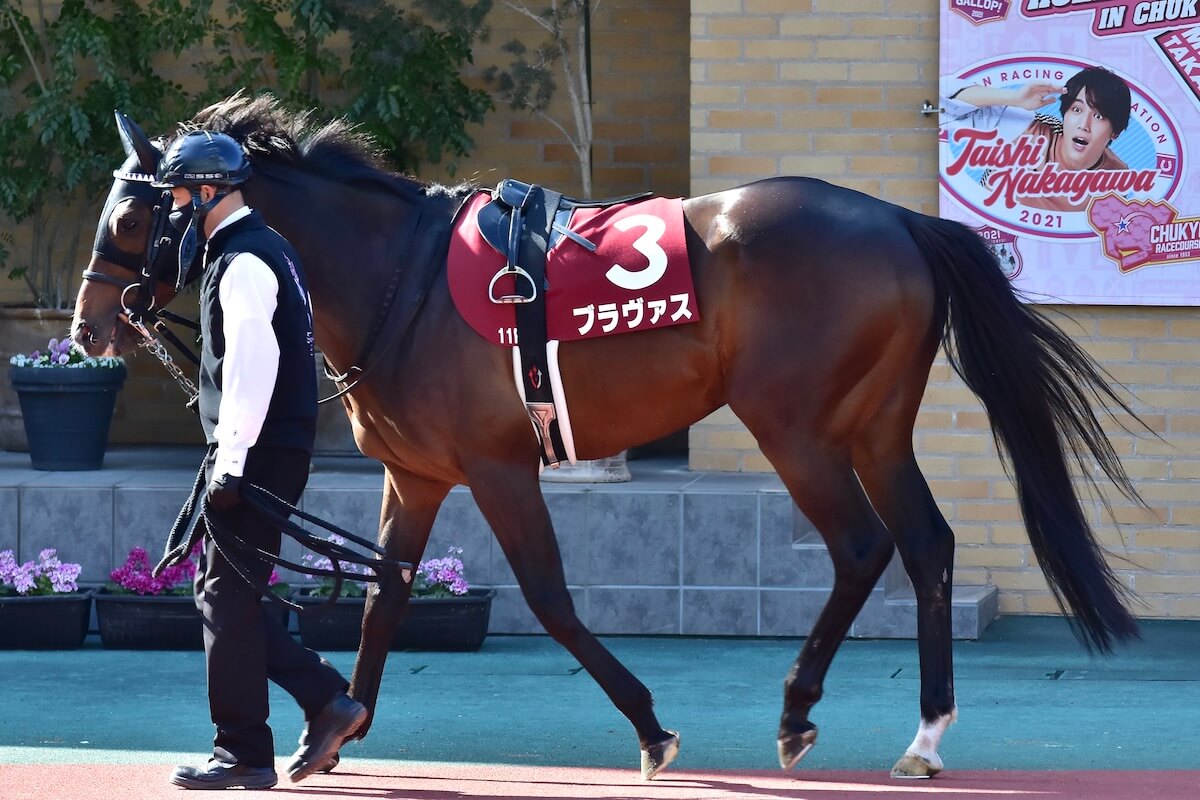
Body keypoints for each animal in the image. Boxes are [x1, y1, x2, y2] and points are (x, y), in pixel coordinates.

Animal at [73, 94, 1144, 780]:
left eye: (129, 213)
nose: (86, 328)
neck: (395, 275)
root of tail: (901, 222)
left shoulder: (500, 467)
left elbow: (547, 598)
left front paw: (652, 727)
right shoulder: (416, 475)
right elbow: (384, 596)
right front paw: (331, 730)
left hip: (795, 427)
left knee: (860, 546)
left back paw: (798, 711)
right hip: (874, 425)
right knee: (925, 543)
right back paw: (922, 737)